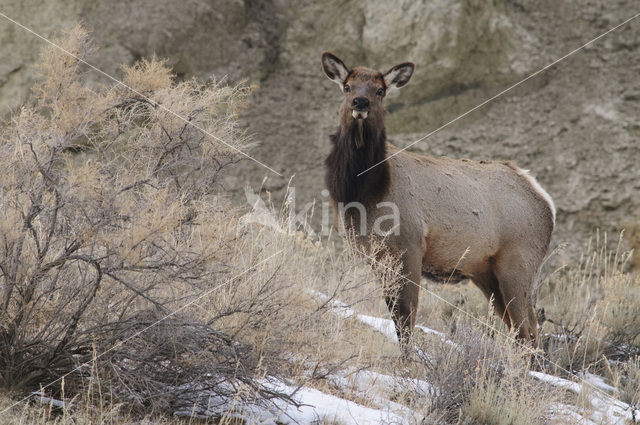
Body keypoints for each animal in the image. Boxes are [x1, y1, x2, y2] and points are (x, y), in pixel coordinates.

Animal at [320, 52, 556, 352]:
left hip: (520, 262)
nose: (360, 103)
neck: (365, 194)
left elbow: (406, 319)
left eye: (380, 90)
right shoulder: (377, 258)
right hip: (487, 273)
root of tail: (545, 200)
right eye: (347, 87)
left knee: (529, 332)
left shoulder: (409, 247)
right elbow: (396, 317)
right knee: (520, 331)